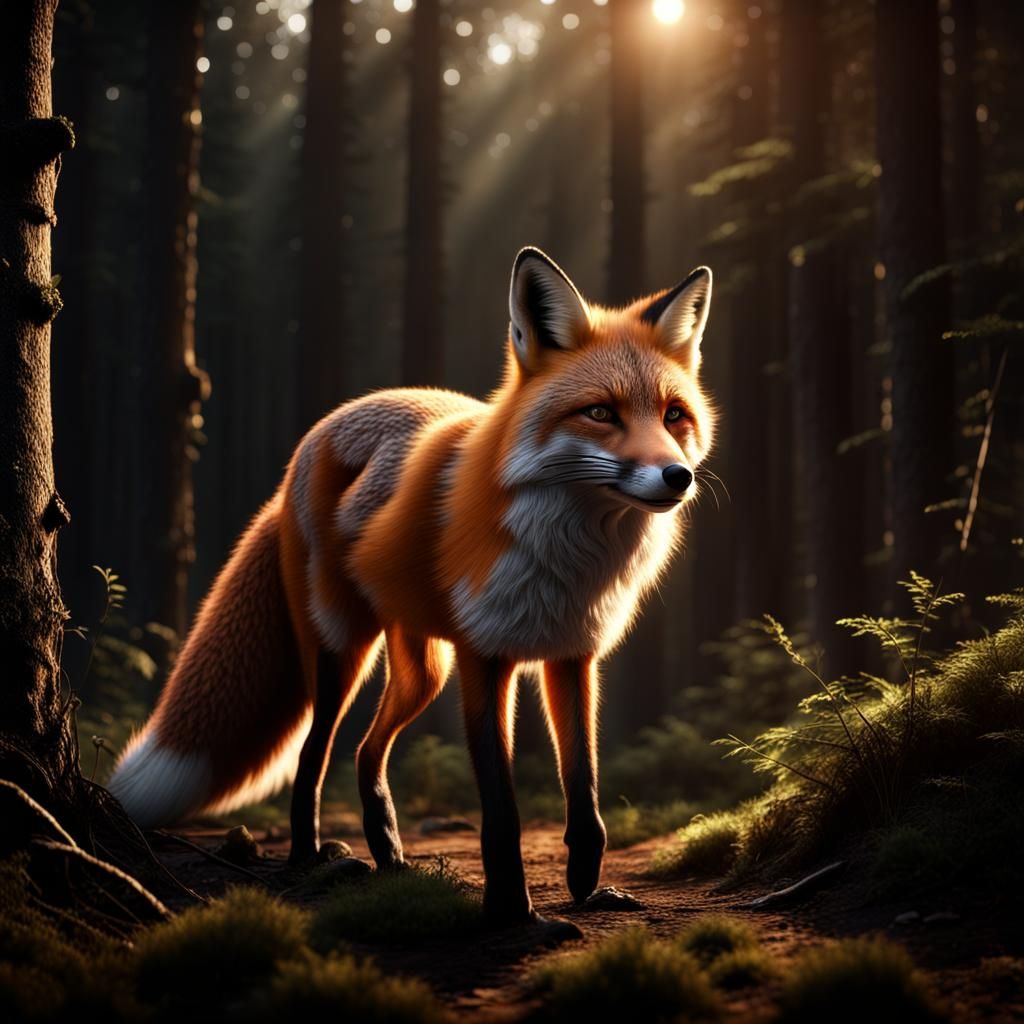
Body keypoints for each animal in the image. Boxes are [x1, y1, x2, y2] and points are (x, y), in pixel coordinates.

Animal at [108, 246, 716, 928]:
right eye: (602, 412)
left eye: (673, 415)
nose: (677, 475)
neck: (567, 558)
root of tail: (319, 433)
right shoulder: (485, 659)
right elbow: (501, 810)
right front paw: (512, 911)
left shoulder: (571, 656)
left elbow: (584, 790)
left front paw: (586, 883)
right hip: (342, 654)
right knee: (314, 757)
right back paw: (307, 858)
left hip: (422, 672)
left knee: (366, 752)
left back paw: (388, 851)